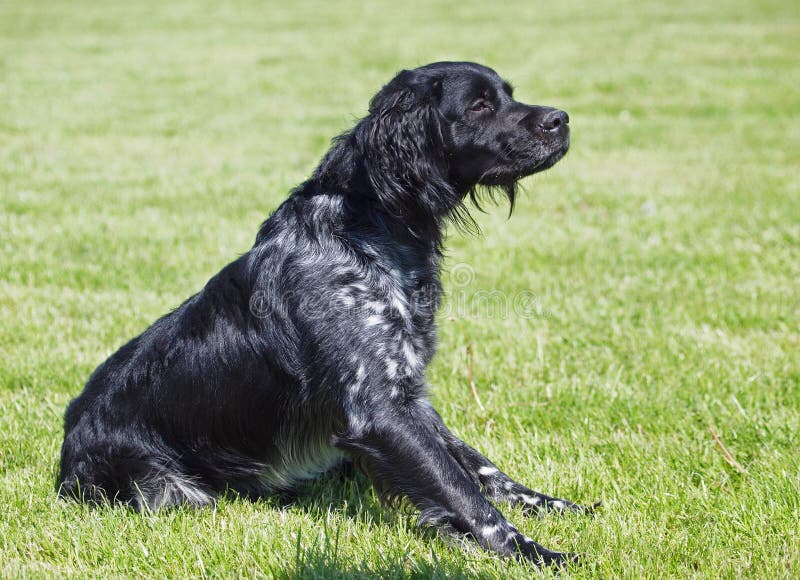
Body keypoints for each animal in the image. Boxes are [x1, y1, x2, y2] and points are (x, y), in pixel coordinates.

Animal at [59, 61, 592, 564]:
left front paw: (555, 505)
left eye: (509, 94)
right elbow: (466, 497)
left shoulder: (409, 393)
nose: (562, 119)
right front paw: (535, 554)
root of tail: (68, 442)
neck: (367, 226)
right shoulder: (379, 408)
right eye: (480, 105)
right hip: (168, 489)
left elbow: (478, 466)